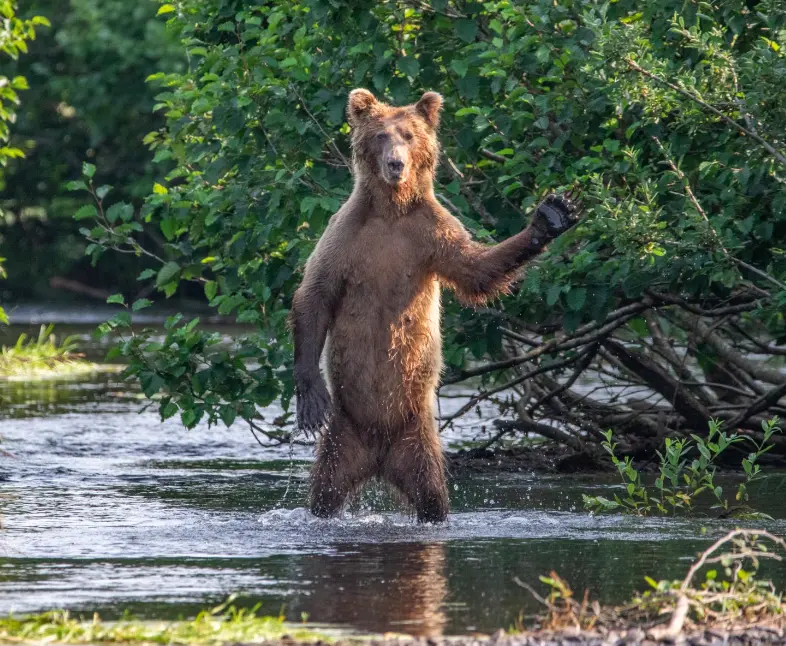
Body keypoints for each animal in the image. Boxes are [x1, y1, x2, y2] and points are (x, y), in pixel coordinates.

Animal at [290, 88, 580, 524]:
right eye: (380, 135)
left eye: (409, 135)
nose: (395, 163)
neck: (391, 211)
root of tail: (378, 456)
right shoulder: (345, 236)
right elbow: (315, 295)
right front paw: (310, 400)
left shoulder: (431, 233)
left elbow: (474, 270)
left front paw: (551, 216)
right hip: (344, 433)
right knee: (325, 490)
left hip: (418, 437)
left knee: (431, 493)